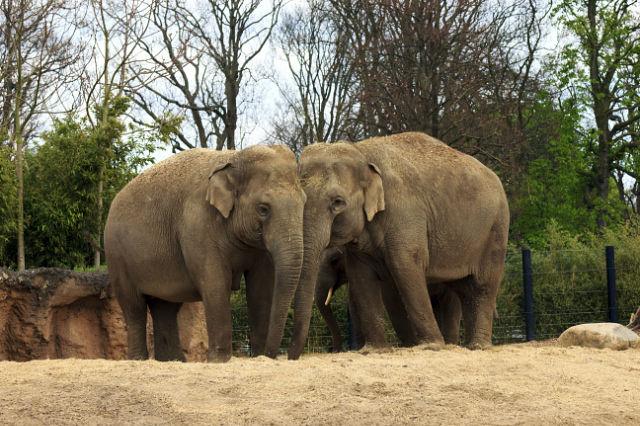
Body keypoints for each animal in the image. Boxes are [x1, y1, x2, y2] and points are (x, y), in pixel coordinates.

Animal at [105, 145, 304, 362]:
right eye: (263, 209)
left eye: (304, 203)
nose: (271, 355)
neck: (234, 157)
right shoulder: (198, 224)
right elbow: (215, 283)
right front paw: (219, 361)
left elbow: (261, 287)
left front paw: (258, 357)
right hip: (117, 255)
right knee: (134, 306)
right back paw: (139, 359)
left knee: (165, 307)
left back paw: (173, 361)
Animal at [288, 132, 508, 360]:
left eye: (337, 202)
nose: (290, 356)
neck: (361, 151)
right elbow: (361, 276)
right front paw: (373, 350)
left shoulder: (405, 214)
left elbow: (405, 267)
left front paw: (430, 346)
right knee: (464, 290)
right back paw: (468, 346)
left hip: (495, 229)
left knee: (482, 285)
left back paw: (477, 346)